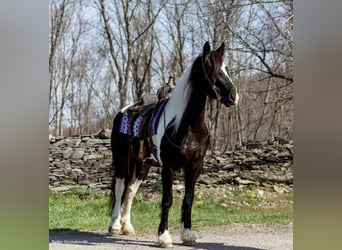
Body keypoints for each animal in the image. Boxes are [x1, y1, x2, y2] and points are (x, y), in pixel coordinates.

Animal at [108, 41, 239, 248]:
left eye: (226, 67)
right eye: (210, 67)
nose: (233, 96)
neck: (187, 126)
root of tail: (123, 111)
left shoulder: (195, 166)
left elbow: (188, 199)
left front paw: (187, 234)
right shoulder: (168, 167)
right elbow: (167, 200)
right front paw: (164, 236)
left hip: (142, 164)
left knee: (130, 190)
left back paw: (126, 226)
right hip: (121, 159)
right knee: (120, 188)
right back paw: (114, 226)